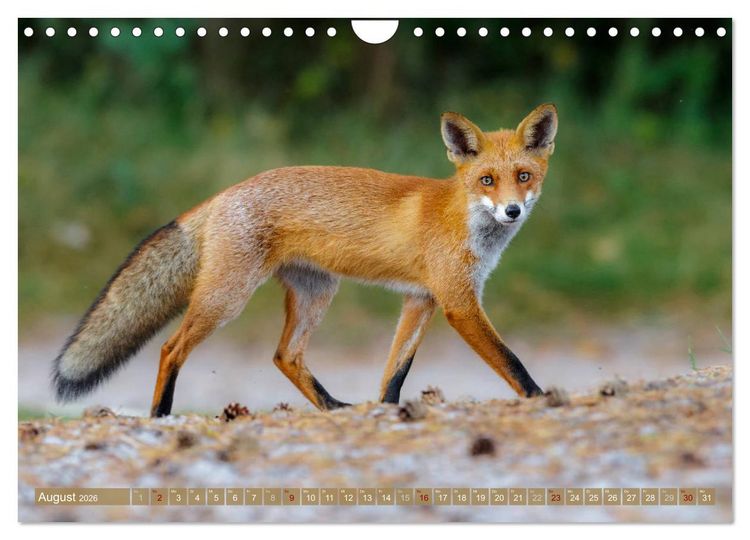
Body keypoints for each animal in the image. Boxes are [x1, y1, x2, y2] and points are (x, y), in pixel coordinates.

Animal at [52, 103, 558, 417]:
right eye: (487, 180)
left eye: (523, 176)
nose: (512, 211)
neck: (463, 219)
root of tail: (225, 193)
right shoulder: (458, 302)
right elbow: (512, 361)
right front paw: (542, 399)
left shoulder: (422, 300)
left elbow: (394, 374)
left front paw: (388, 413)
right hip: (227, 298)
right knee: (170, 348)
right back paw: (160, 415)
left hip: (317, 294)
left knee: (285, 356)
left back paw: (333, 408)